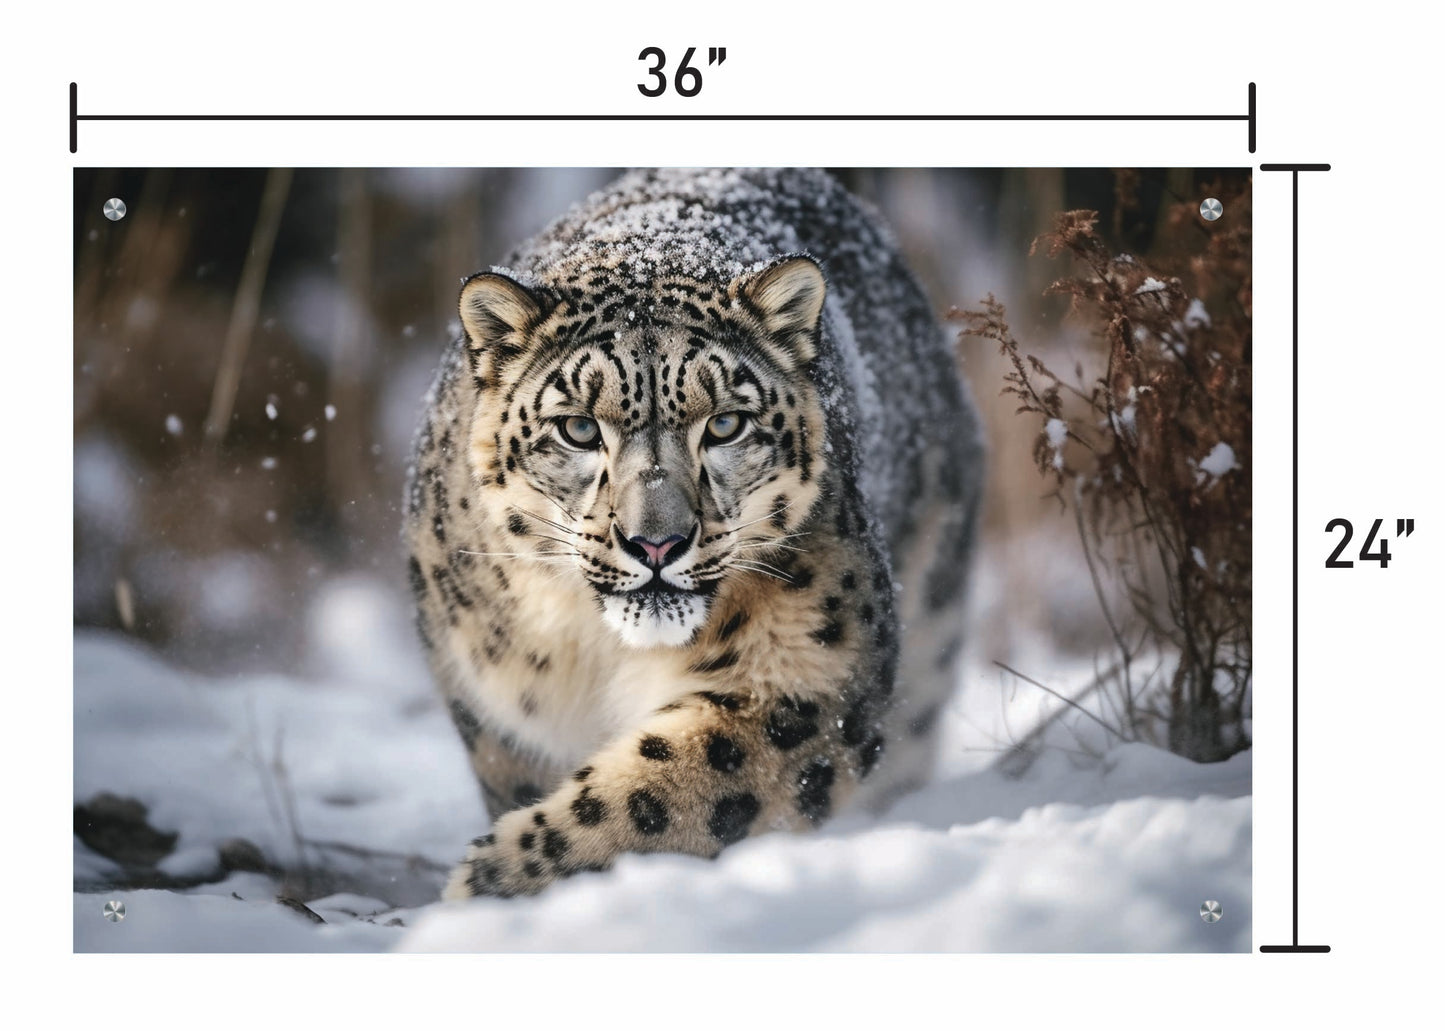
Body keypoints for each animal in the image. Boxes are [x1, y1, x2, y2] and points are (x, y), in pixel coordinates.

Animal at [403, 168, 982, 899]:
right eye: (579, 427)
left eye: (726, 423)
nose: (656, 542)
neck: (598, 655)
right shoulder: (496, 707)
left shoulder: (806, 672)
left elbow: (667, 792)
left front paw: (497, 878)